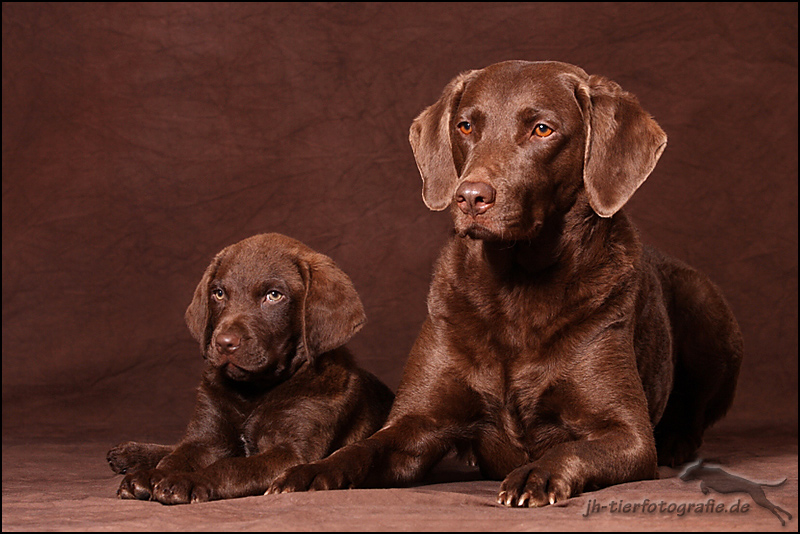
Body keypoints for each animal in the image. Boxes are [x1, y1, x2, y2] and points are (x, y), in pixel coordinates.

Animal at [106, 233, 394, 506]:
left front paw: (188, 480)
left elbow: (229, 465)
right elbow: (177, 457)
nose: (223, 343)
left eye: (274, 295)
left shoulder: (290, 453)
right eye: (219, 293)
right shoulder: (205, 438)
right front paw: (150, 476)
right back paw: (130, 454)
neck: (255, 392)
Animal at [268, 60, 744, 508]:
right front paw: (309, 472)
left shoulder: (627, 434)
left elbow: (570, 450)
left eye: (542, 129)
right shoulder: (416, 424)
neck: (517, 289)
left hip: (709, 314)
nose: (470, 197)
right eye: (465, 126)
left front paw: (536, 475)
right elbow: (362, 448)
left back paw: (678, 443)